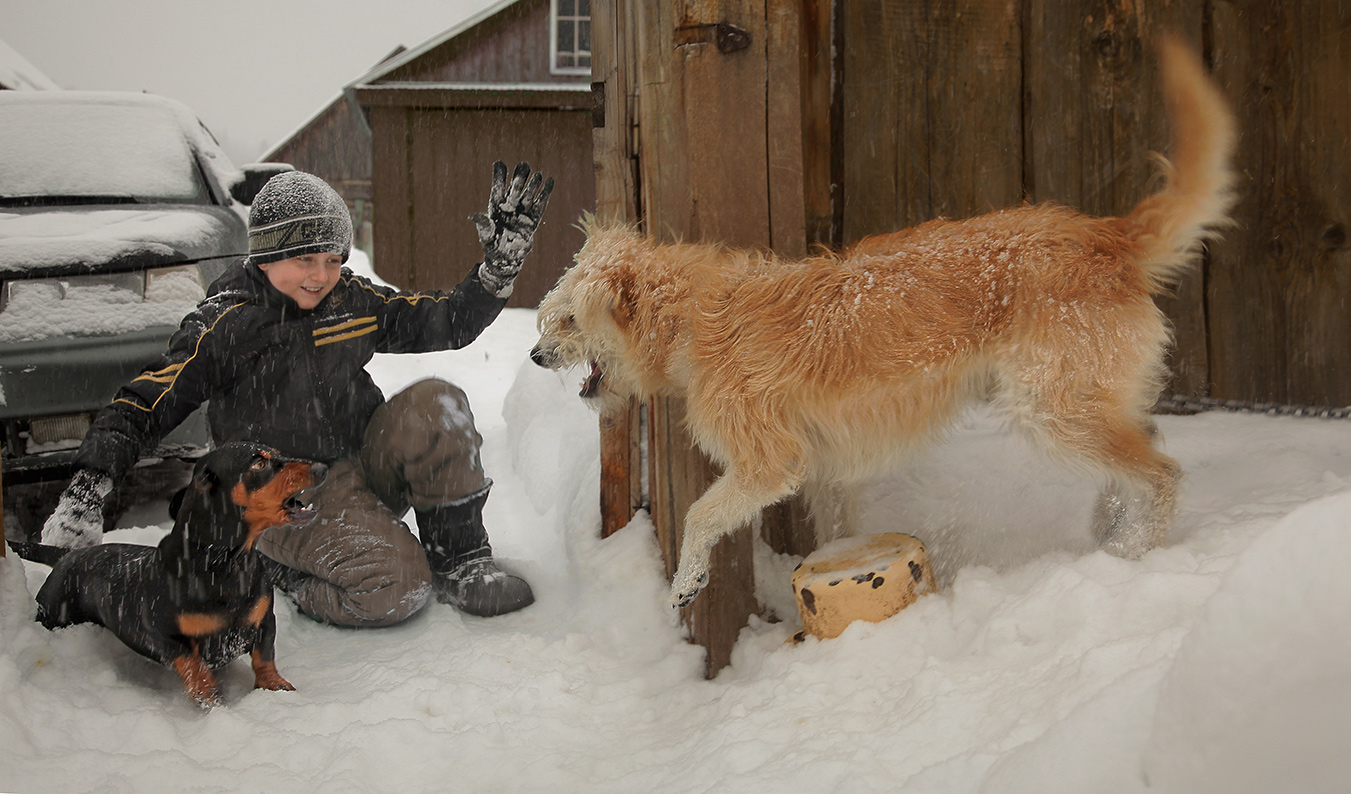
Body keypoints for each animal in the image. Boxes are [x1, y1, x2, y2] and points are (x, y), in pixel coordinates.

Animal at [15, 442, 324, 707]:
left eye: (276, 453)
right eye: (259, 463)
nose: (322, 468)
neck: (226, 567)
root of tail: (67, 555)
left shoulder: (264, 620)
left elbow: (264, 657)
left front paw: (274, 685)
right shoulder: (166, 636)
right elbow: (193, 666)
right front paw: (210, 699)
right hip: (53, 612)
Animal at [529, 37, 1237, 604]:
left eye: (565, 321)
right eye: (547, 321)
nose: (534, 357)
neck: (692, 316)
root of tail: (1106, 236)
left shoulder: (768, 465)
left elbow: (702, 515)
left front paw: (687, 580)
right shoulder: (822, 472)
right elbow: (834, 539)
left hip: (1054, 407)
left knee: (1164, 473)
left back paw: (1132, 554)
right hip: (1088, 400)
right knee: (1146, 445)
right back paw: (1110, 525)